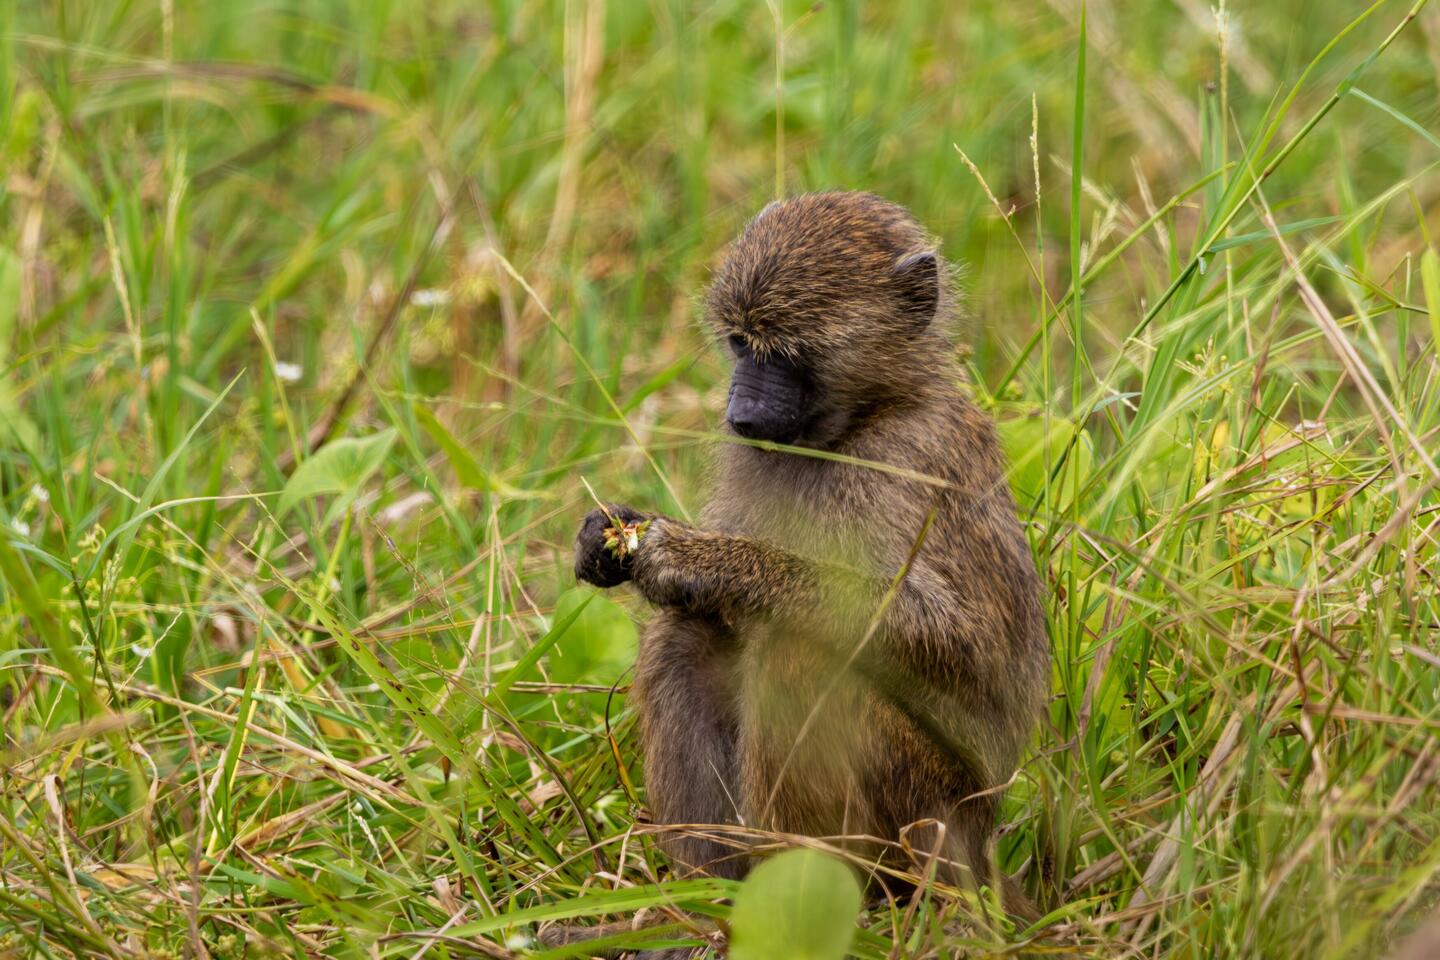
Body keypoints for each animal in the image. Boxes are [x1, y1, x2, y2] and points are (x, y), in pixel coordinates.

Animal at [564, 192, 1049, 957]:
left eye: (791, 351)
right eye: (740, 344)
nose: (741, 415)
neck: (857, 424)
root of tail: (978, 845)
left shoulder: (912, 458)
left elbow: (962, 643)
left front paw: (701, 559)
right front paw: (608, 534)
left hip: (927, 807)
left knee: (800, 655)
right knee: (682, 637)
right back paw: (708, 904)